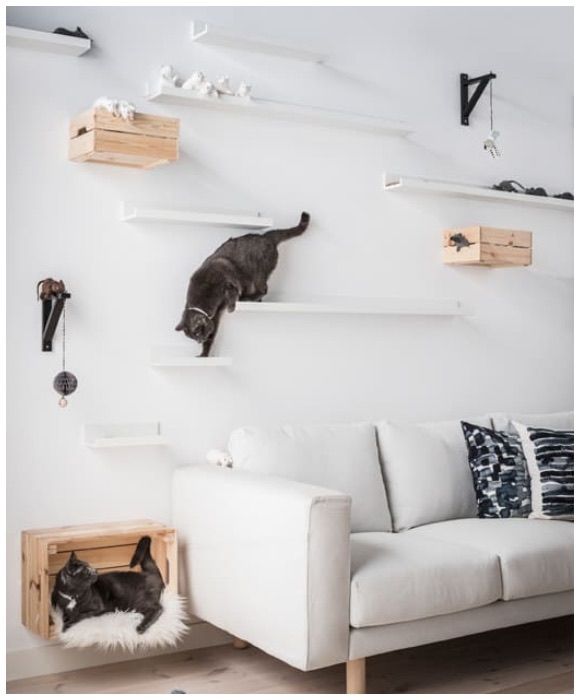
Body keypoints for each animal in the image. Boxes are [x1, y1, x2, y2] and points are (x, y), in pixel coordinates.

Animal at [177, 211, 310, 356]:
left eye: (197, 333)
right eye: (192, 337)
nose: (199, 341)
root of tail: (266, 236)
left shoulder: (227, 280)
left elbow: (232, 293)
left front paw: (231, 307)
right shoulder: (215, 317)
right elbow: (212, 335)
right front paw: (204, 355)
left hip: (258, 272)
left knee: (264, 289)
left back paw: (247, 298)